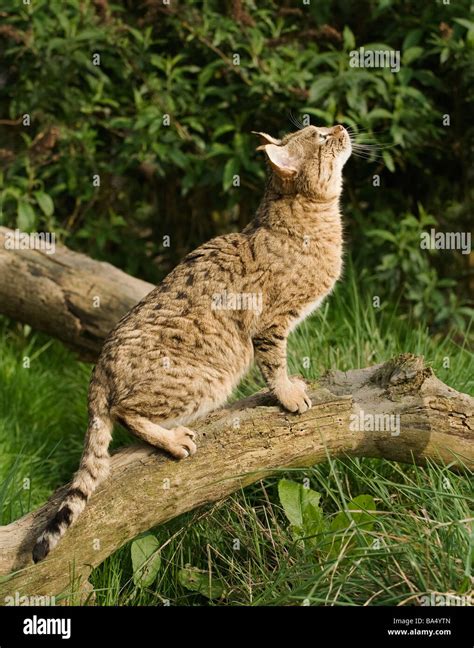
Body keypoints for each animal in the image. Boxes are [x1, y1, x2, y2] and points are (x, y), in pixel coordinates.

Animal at [33, 125, 352, 560]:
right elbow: (275, 364)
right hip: (206, 379)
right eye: (319, 137)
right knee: (125, 411)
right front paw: (289, 395)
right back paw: (173, 440)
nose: (340, 127)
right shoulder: (270, 323)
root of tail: (98, 371)